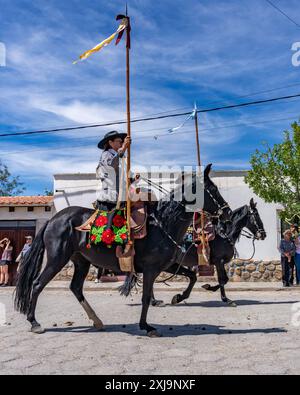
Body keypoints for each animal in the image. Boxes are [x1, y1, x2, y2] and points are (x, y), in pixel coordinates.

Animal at [14, 164, 232, 338]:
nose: (227, 212)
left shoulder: (165, 266)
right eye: (213, 189)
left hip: (81, 261)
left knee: (75, 287)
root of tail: (53, 219)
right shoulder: (151, 269)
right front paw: (147, 326)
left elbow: (189, 278)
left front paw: (177, 298)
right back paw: (35, 323)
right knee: (37, 284)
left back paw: (97, 321)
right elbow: (146, 297)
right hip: (57, 259)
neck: (164, 223)